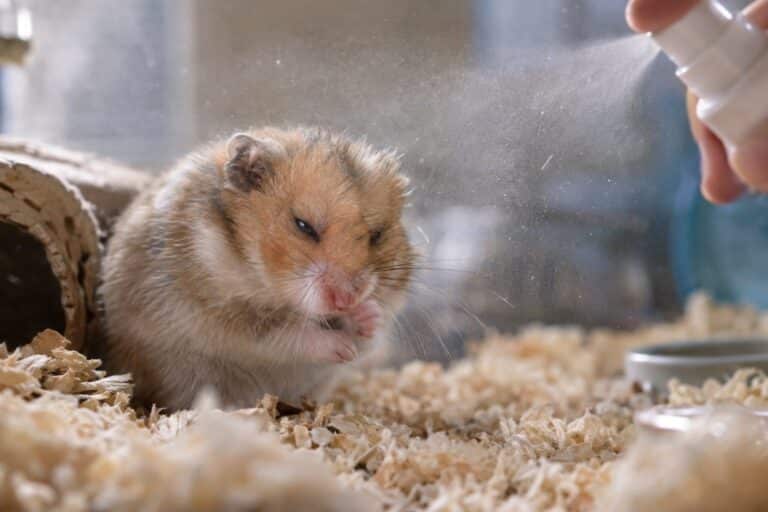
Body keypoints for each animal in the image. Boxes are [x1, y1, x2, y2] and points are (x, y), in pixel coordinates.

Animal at [100, 127, 415, 410]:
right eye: (304, 226)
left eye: (377, 235)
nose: (347, 299)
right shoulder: (224, 317)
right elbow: (287, 334)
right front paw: (343, 348)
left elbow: (368, 338)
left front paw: (368, 315)